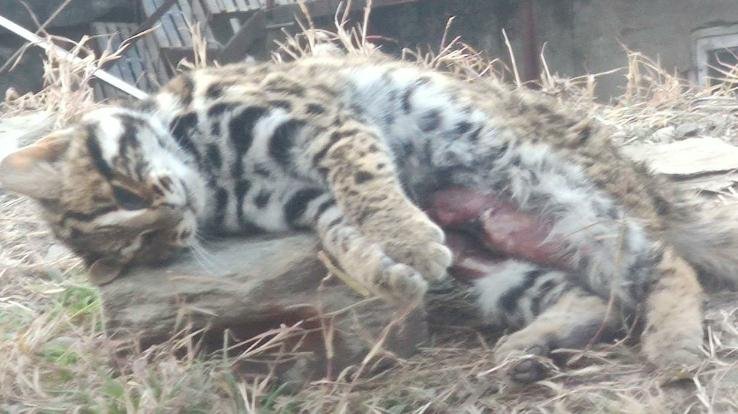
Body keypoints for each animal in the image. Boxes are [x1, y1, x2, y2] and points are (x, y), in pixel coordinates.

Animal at [2, 52, 737, 384]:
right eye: (148, 246)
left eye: (122, 200)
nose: (173, 218)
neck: (215, 176)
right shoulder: (306, 203)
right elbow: (341, 229)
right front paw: (389, 269)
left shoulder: (323, 122)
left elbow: (362, 180)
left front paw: (404, 239)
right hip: (499, 264)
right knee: (594, 297)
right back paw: (528, 347)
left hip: (549, 181)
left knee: (664, 262)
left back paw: (674, 346)